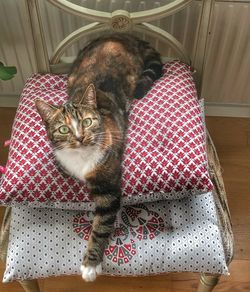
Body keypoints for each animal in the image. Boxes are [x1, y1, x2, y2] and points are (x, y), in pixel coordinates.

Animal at [34, 33, 162, 282]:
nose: (80, 137)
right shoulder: (61, 160)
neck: (81, 156)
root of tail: (123, 36)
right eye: (63, 129)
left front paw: (91, 264)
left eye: (87, 121)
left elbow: (101, 224)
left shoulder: (107, 183)